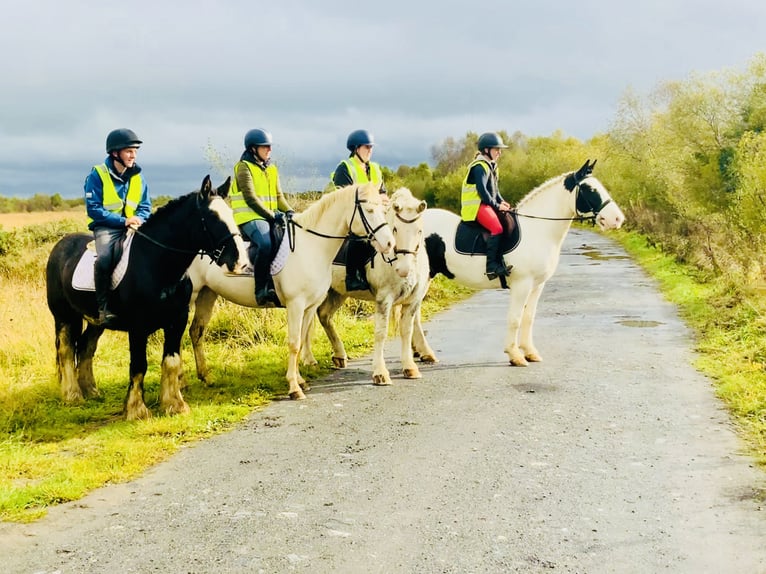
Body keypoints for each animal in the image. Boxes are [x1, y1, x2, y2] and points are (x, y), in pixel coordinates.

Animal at [420, 159, 624, 364]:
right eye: (590, 189)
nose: (617, 219)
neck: (538, 229)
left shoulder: (537, 285)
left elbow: (528, 317)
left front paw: (530, 352)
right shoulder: (522, 284)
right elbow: (515, 318)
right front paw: (515, 355)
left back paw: (423, 353)